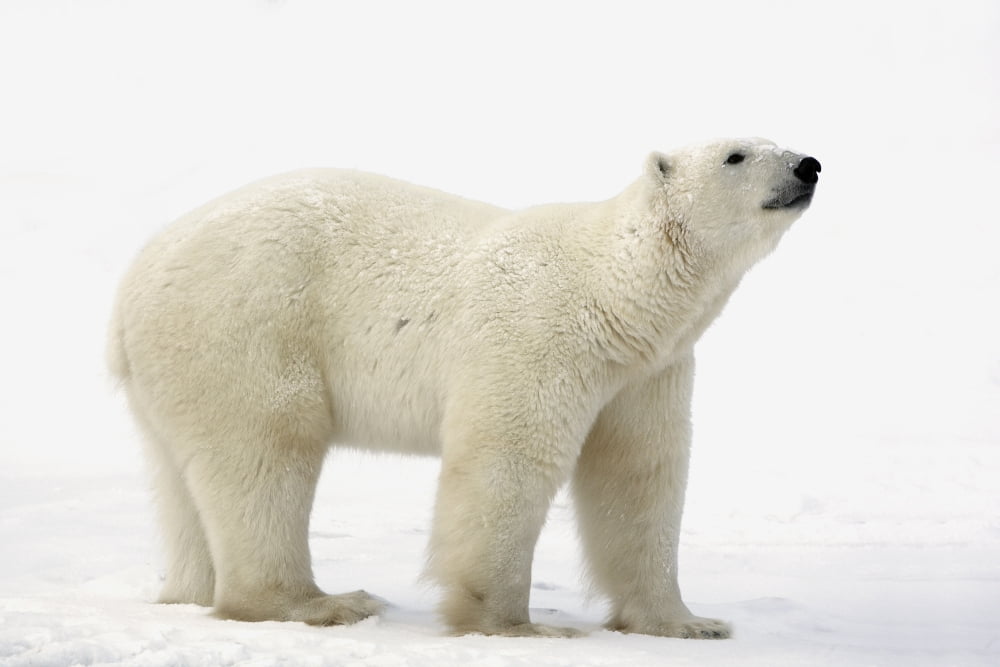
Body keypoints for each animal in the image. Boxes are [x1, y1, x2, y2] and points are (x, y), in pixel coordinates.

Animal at [107, 138, 820, 638]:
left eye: (778, 138)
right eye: (736, 154)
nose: (808, 165)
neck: (614, 294)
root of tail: (134, 281)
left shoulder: (647, 371)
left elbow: (639, 476)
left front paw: (688, 623)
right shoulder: (539, 334)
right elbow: (507, 460)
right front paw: (515, 623)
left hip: (171, 370)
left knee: (183, 480)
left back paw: (190, 589)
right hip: (247, 325)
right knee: (266, 450)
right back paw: (321, 603)